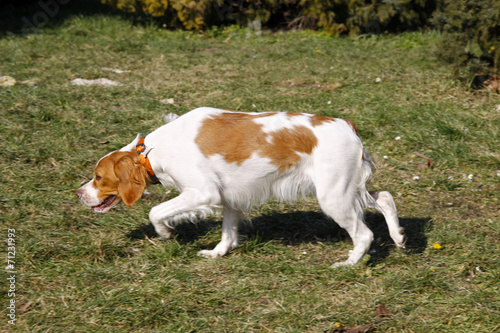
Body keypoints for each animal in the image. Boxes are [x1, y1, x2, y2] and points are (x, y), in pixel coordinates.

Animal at [77, 107, 406, 266]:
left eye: (98, 177)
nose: (79, 193)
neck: (152, 152)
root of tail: (348, 126)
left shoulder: (203, 192)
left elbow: (156, 212)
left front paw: (167, 233)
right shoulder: (229, 197)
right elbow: (228, 232)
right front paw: (217, 253)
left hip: (333, 198)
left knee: (364, 234)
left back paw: (349, 263)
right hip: (349, 190)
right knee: (385, 198)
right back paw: (399, 238)